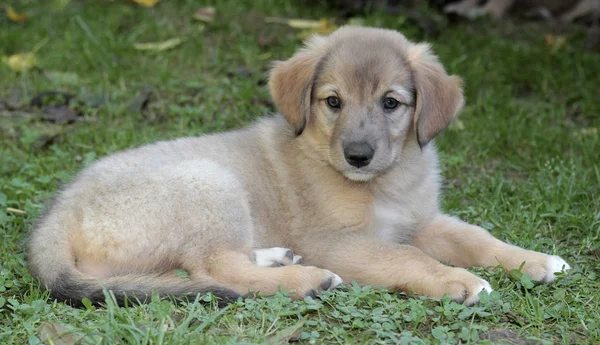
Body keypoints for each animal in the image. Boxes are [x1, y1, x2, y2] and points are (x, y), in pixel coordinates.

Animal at [28, 27, 568, 306]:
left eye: (391, 103)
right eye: (333, 101)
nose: (358, 155)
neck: (385, 183)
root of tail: (56, 215)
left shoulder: (422, 221)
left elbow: (476, 237)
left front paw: (536, 261)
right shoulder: (335, 241)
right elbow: (405, 258)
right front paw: (458, 280)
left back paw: (277, 257)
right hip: (208, 183)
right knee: (216, 268)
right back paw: (307, 279)